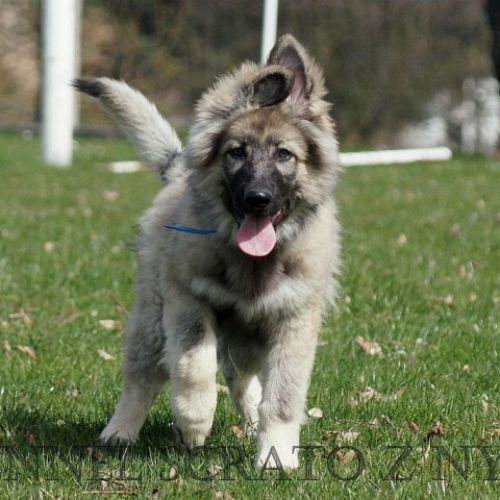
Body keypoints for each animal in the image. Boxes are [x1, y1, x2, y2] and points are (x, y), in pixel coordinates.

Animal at [74, 34, 341, 470]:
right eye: (237, 152)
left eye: (284, 155)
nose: (257, 200)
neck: (252, 262)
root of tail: (177, 171)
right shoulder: (188, 301)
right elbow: (193, 365)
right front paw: (194, 423)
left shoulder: (295, 320)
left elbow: (283, 397)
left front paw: (276, 456)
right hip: (152, 318)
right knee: (141, 377)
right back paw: (120, 432)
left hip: (247, 338)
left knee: (240, 377)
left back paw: (252, 423)